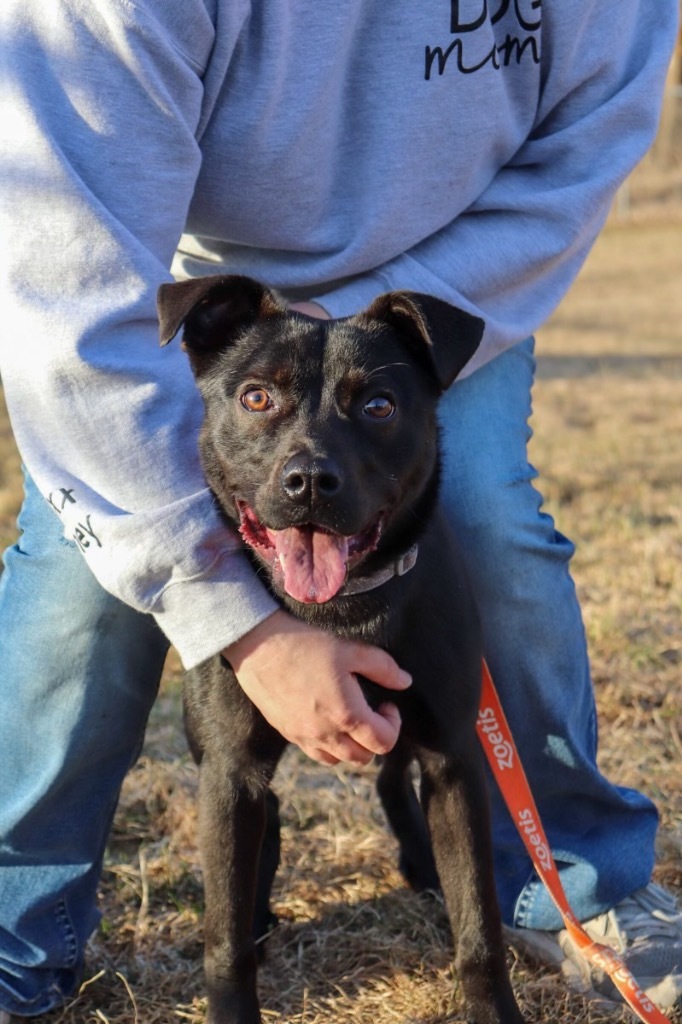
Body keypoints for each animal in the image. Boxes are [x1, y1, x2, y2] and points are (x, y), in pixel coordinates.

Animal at [156, 274, 522, 1024]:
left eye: (379, 405)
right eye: (256, 397)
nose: (309, 481)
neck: (341, 612)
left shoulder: (454, 758)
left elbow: (480, 924)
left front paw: (492, 1006)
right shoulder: (231, 770)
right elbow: (224, 942)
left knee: (390, 780)